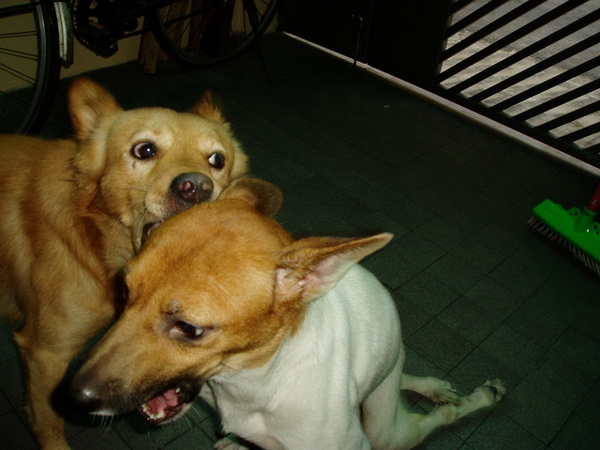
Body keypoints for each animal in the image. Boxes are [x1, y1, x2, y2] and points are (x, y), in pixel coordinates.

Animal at [0, 78, 247, 449]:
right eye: (144, 150)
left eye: (216, 159)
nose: (197, 188)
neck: (95, 243)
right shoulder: (44, 352)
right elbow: (48, 422)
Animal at [69, 178, 505, 449]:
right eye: (124, 291)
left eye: (189, 329)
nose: (74, 397)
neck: (251, 383)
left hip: (386, 431)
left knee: (431, 416)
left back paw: (472, 399)